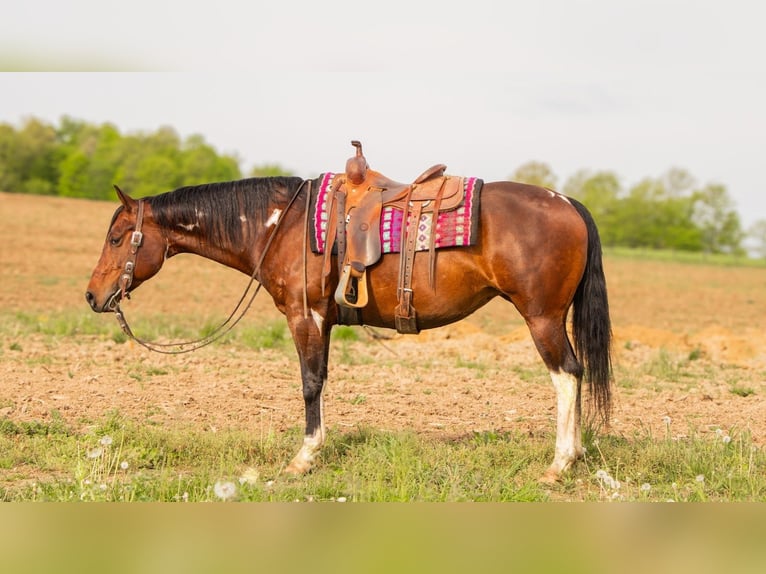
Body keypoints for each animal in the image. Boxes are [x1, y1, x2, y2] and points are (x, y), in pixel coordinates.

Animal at [85, 173, 612, 484]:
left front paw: (304, 457)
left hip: (541, 317)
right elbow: (321, 380)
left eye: (117, 237)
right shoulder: (323, 318)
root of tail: (566, 202)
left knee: (566, 374)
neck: (281, 224)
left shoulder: (306, 316)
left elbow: (309, 383)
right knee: (576, 372)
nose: (92, 296)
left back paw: (560, 463)